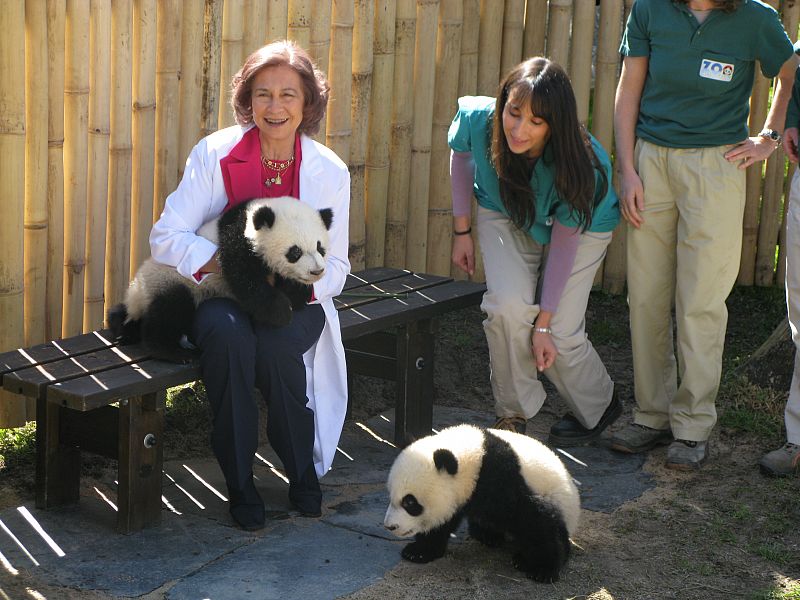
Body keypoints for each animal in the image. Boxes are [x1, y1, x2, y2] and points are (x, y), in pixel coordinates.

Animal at [108, 196, 333, 362]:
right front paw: (281, 311)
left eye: (320, 247)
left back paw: (123, 329)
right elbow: (246, 279)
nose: (317, 271)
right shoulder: (237, 240)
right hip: (168, 279)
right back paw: (169, 350)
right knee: (170, 308)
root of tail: (137, 296)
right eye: (295, 252)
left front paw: (296, 294)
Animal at [383, 424, 580, 583]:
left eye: (409, 502)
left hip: (563, 504)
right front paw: (418, 551)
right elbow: (442, 522)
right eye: (391, 495)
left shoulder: (504, 479)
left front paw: (542, 570)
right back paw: (488, 535)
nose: (390, 526)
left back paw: (522, 559)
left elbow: (535, 519)